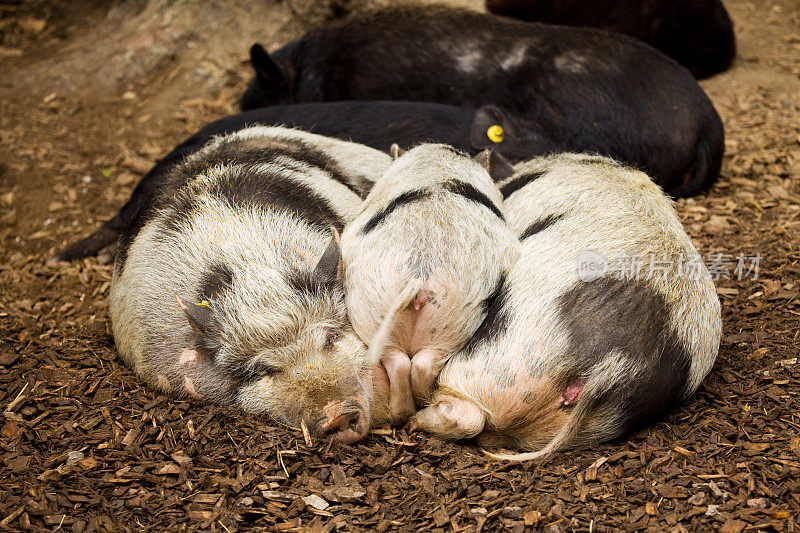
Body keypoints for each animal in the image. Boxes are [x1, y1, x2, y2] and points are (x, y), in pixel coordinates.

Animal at [338, 143, 520, 422]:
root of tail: (419, 278)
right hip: (454, 316)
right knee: (420, 362)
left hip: (372, 306)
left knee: (403, 362)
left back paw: (406, 412)